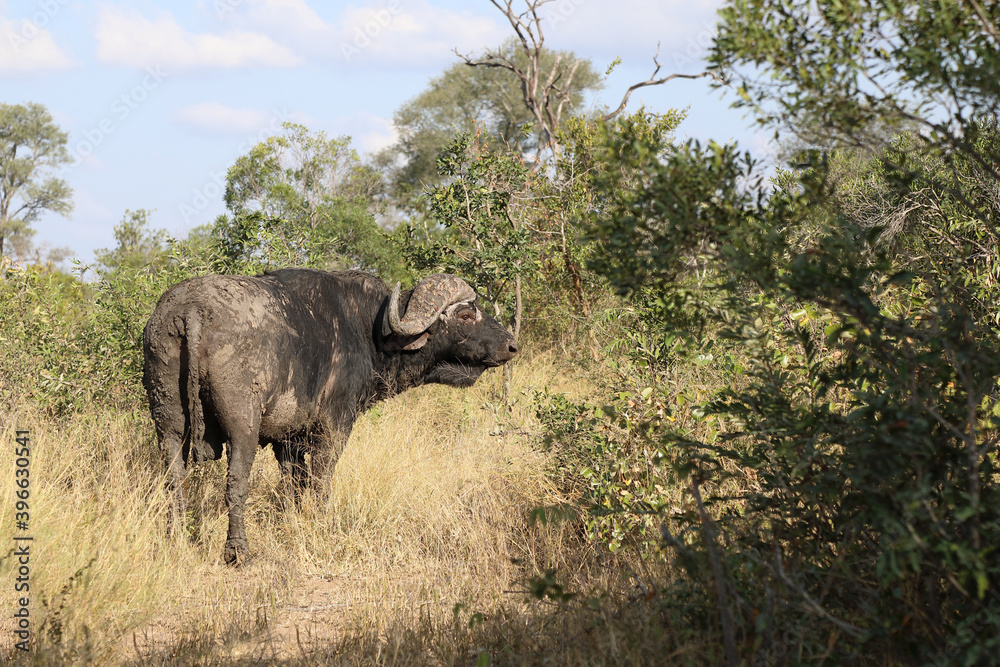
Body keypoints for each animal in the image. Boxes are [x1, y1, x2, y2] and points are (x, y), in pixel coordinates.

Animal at [142, 268, 518, 564]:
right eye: (466, 316)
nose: (512, 345)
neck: (369, 329)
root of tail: (192, 309)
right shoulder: (334, 427)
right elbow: (321, 480)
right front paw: (320, 521)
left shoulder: (288, 440)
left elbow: (293, 483)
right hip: (242, 427)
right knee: (235, 483)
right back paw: (239, 551)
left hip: (169, 424)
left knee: (173, 480)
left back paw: (176, 539)